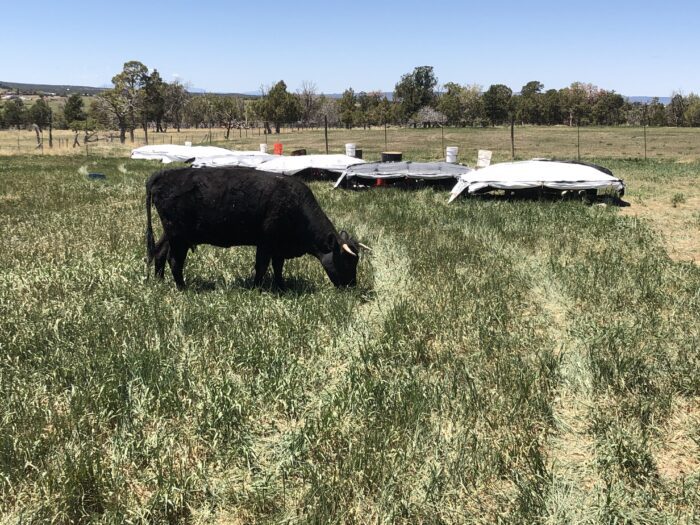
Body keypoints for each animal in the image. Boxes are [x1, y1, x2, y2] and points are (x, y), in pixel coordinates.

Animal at [146, 166, 370, 288]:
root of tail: (164, 175)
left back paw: (160, 281)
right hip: (178, 237)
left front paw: (281, 286)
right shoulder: (266, 242)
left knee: (160, 252)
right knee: (174, 261)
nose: (352, 286)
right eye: (346, 260)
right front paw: (257, 288)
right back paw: (183, 288)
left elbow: (278, 267)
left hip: (171, 234)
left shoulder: (279, 247)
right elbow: (261, 266)